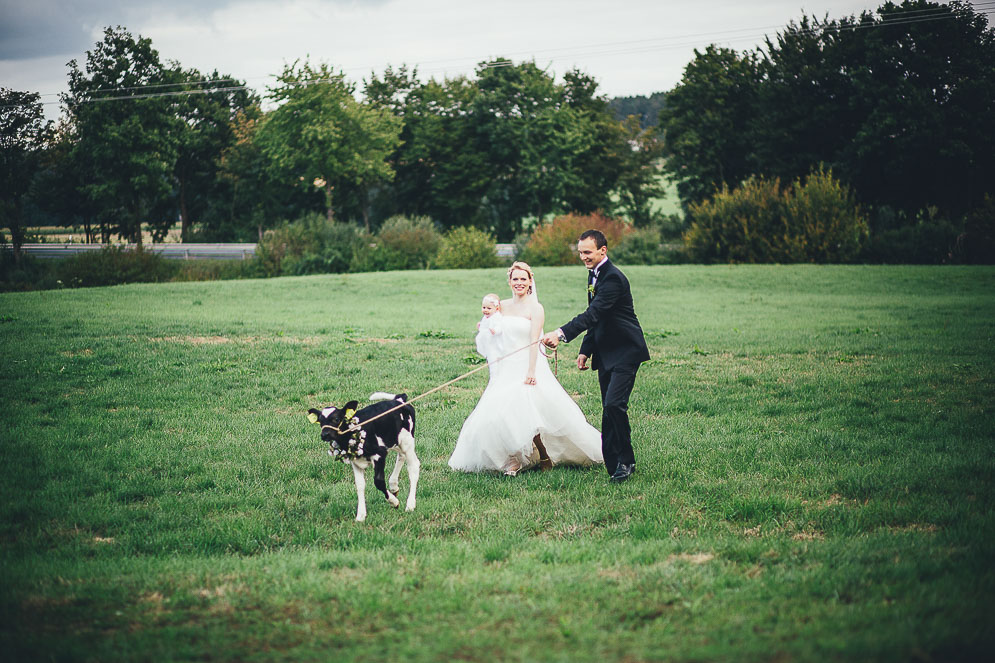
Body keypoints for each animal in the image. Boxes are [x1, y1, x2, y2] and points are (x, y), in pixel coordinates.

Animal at [312, 392, 420, 520]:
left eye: (336, 419)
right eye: (320, 421)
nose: (324, 434)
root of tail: (400, 399)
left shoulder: (379, 454)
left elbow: (378, 481)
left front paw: (394, 502)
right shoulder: (355, 462)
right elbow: (360, 485)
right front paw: (361, 515)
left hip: (407, 441)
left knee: (413, 466)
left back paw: (410, 504)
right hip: (396, 441)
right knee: (401, 456)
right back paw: (393, 485)